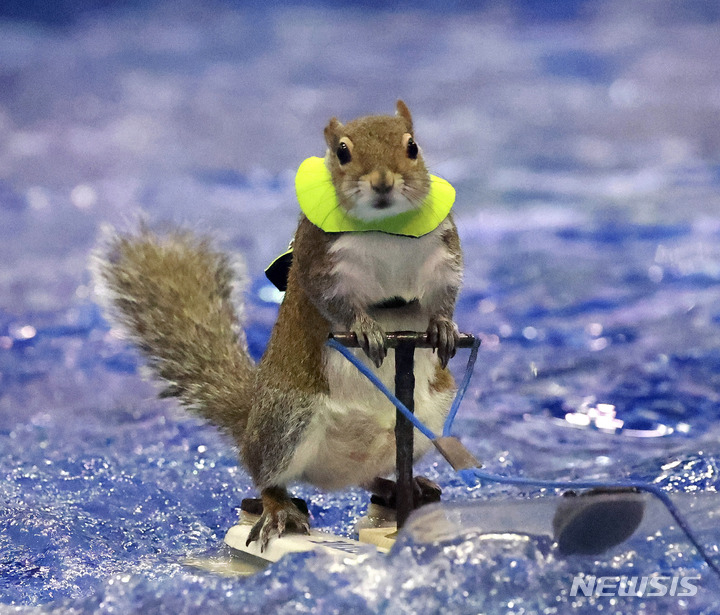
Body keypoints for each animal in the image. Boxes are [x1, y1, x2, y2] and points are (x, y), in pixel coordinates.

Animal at [95, 100, 464, 548]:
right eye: (342, 152)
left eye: (413, 147)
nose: (381, 183)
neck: (386, 229)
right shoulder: (319, 259)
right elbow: (332, 301)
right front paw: (364, 327)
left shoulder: (443, 252)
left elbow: (445, 293)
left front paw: (443, 326)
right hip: (286, 422)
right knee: (267, 478)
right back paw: (278, 510)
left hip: (425, 419)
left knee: (370, 478)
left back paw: (405, 488)